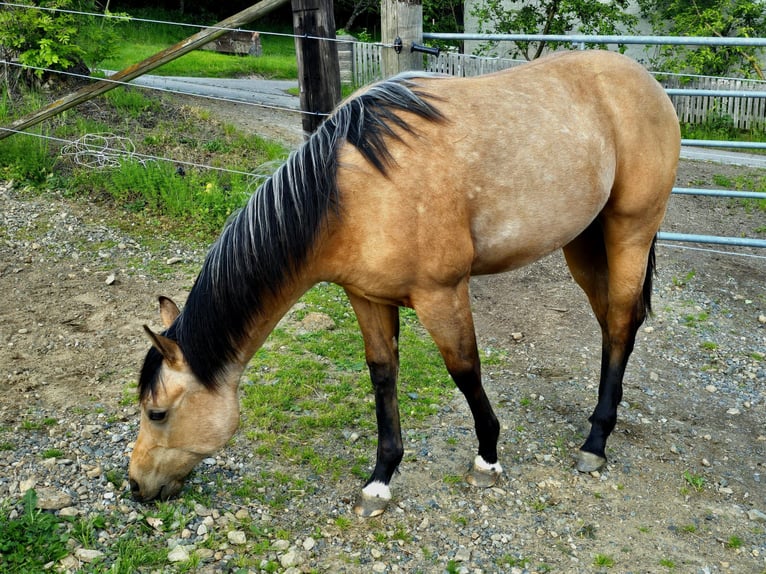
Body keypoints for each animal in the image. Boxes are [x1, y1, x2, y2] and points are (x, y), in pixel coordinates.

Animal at [128, 50, 680, 517]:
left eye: (156, 413)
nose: (135, 485)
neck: (348, 195)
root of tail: (645, 80)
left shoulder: (442, 295)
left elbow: (465, 371)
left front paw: (487, 459)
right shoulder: (366, 298)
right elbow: (383, 376)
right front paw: (380, 480)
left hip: (629, 230)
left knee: (621, 321)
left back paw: (595, 443)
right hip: (584, 242)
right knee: (611, 324)